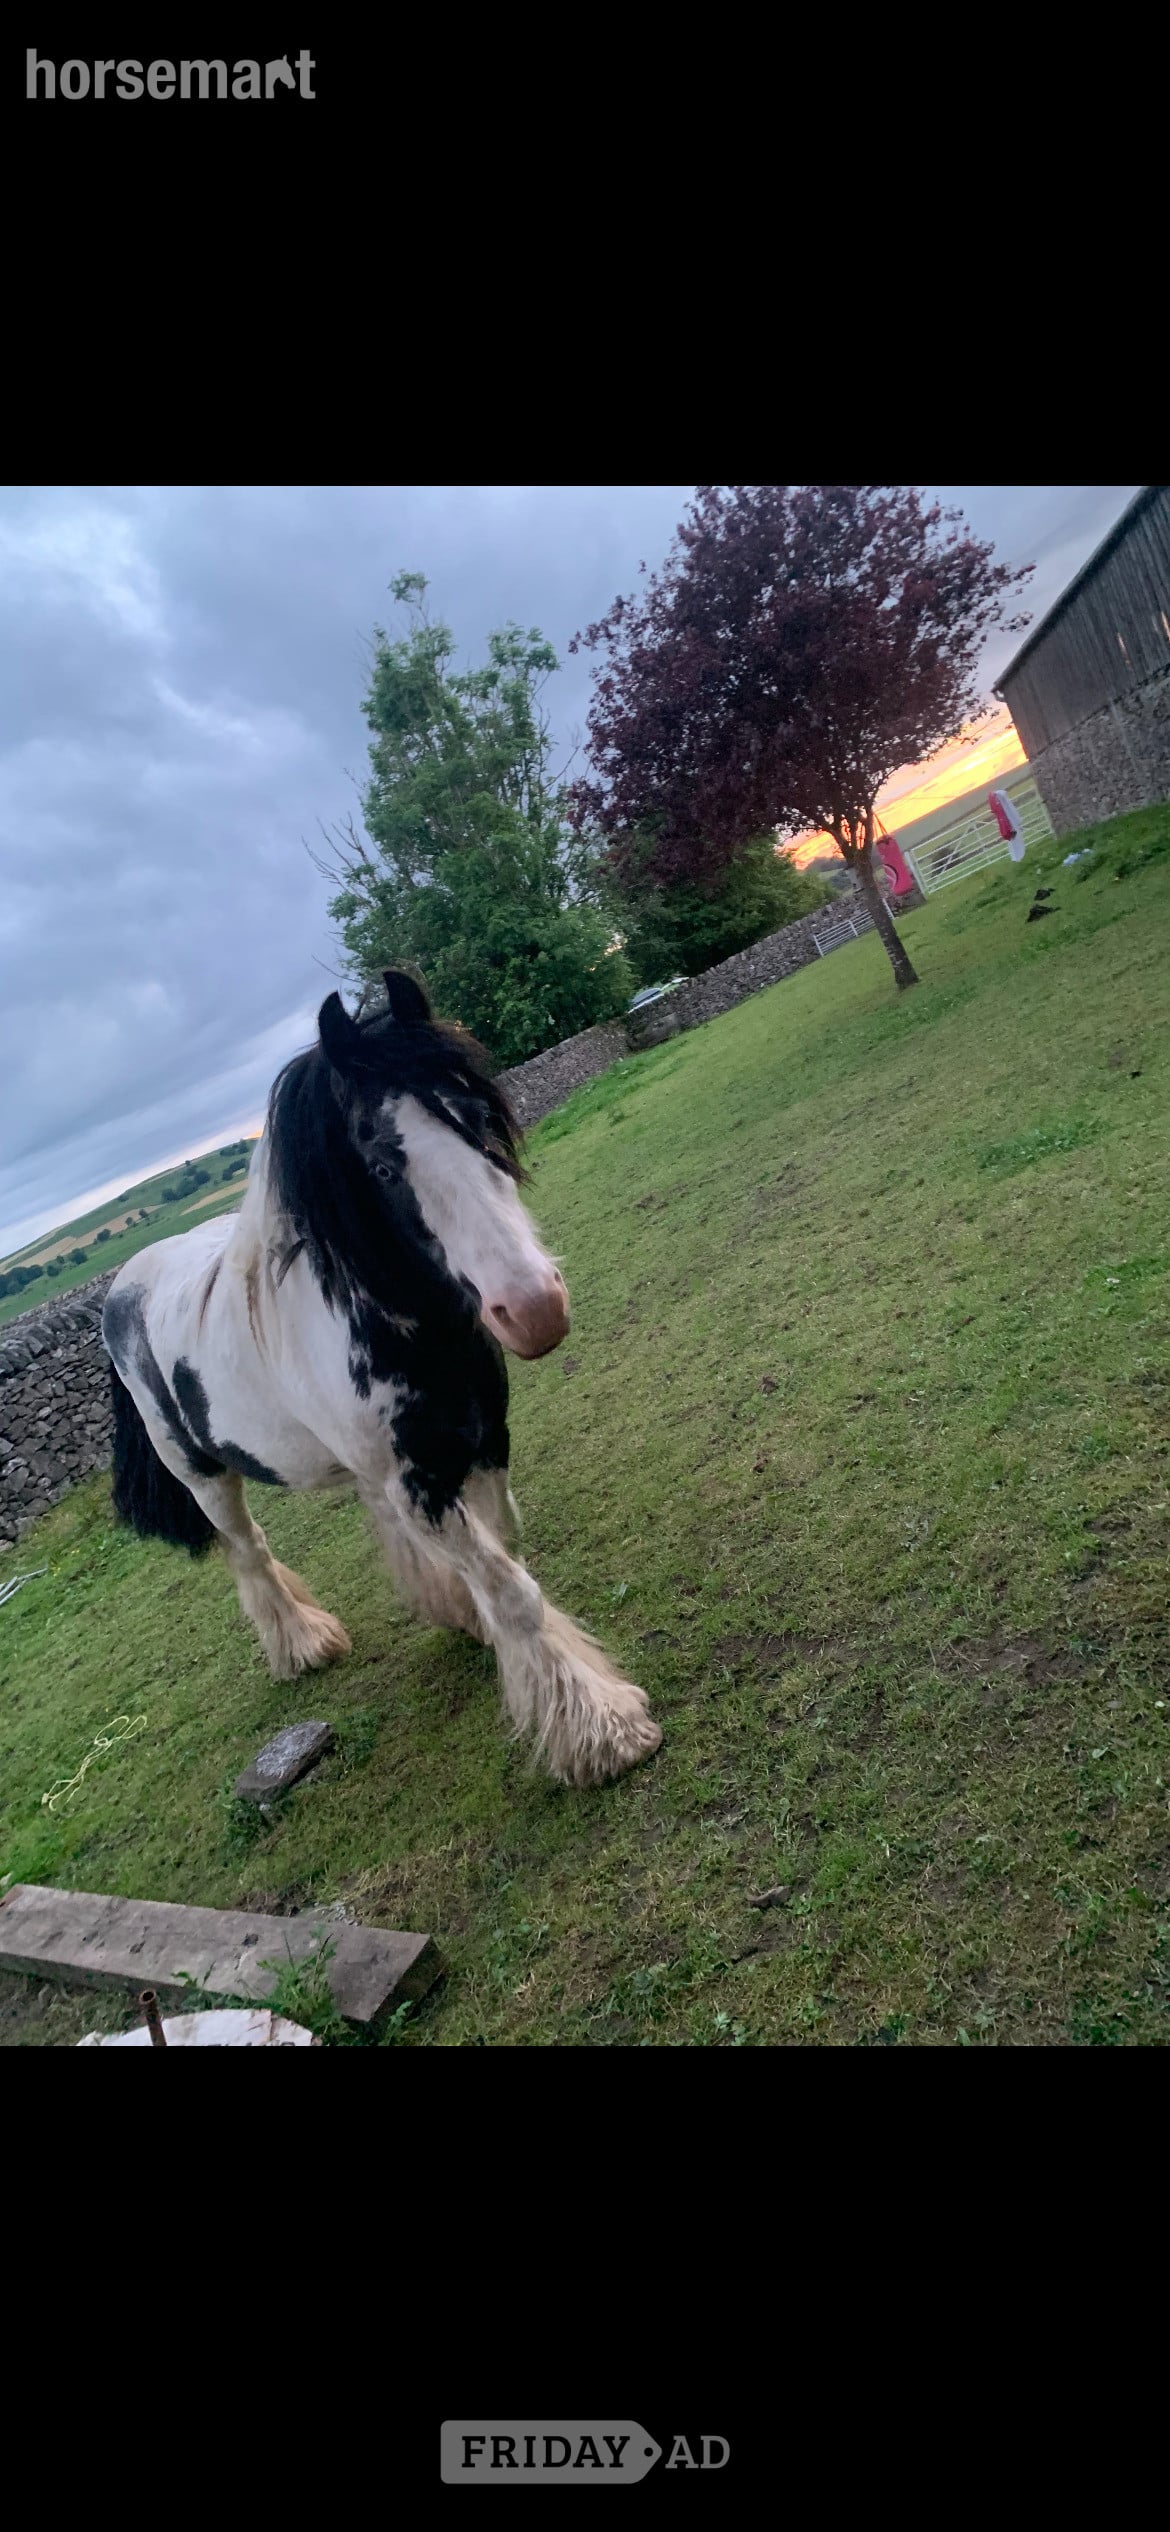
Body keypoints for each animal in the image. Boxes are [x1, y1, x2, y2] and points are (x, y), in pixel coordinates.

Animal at [101, 969, 662, 1789]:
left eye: (479, 1122)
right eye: (384, 1166)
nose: (534, 1310)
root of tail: (122, 1289)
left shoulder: (483, 1443)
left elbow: (507, 1553)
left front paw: (483, 1628)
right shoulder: (418, 1483)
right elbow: (514, 1594)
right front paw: (600, 1731)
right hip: (206, 1479)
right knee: (249, 1551)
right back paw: (302, 1645)